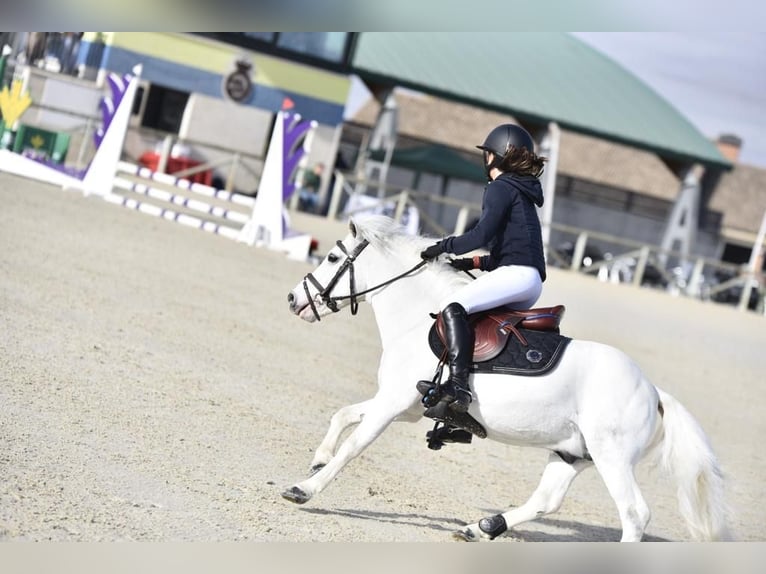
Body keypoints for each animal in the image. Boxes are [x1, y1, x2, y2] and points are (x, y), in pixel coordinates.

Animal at [284, 216, 732, 544]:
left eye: (330, 257)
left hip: (611, 456)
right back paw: (480, 527)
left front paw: (305, 488)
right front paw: (318, 457)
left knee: (634, 514)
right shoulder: (403, 405)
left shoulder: (392, 403)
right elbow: (343, 416)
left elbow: (354, 446)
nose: (293, 299)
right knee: (547, 500)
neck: (415, 317)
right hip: (573, 452)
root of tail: (654, 393)